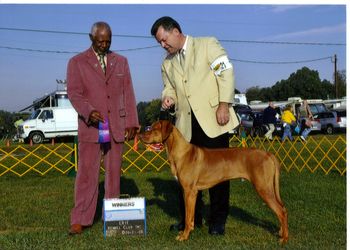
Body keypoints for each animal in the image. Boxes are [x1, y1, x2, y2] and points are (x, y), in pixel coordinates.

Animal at [138, 120, 288, 243]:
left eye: (154, 129)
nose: (140, 135)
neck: (181, 152)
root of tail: (268, 154)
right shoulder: (189, 192)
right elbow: (190, 217)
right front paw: (188, 231)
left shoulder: (190, 191)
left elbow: (188, 216)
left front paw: (184, 236)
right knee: (282, 209)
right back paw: (281, 232)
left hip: (263, 188)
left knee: (281, 211)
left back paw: (284, 238)